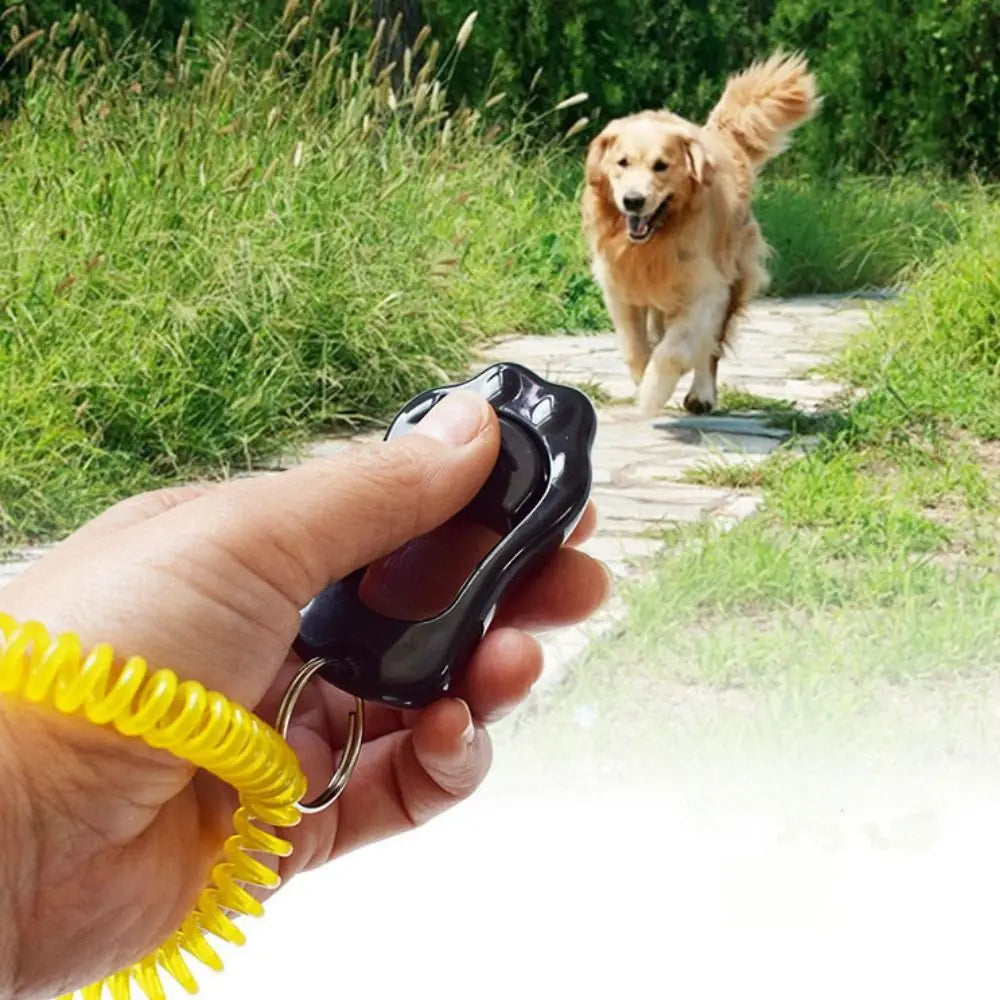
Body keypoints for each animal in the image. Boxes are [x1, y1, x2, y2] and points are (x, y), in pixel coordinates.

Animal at [580, 53, 820, 414]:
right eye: (622, 162)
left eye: (661, 165)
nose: (633, 201)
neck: (658, 239)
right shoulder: (620, 286)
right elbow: (635, 348)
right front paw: (642, 377)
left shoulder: (707, 289)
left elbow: (675, 350)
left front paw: (652, 393)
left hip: (735, 276)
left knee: (711, 348)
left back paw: (701, 394)